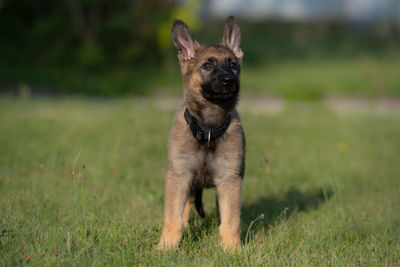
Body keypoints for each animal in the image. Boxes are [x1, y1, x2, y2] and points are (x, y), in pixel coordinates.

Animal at [158, 16, 245, 251]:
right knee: (186, 206)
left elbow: (230, 220)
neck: (208, 130)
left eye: (233, 65)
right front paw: (166, 247)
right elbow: (172, 218)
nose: (229, 80)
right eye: (207, 65)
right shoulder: (179, 176)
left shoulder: (229, 179)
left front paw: (232, 250)